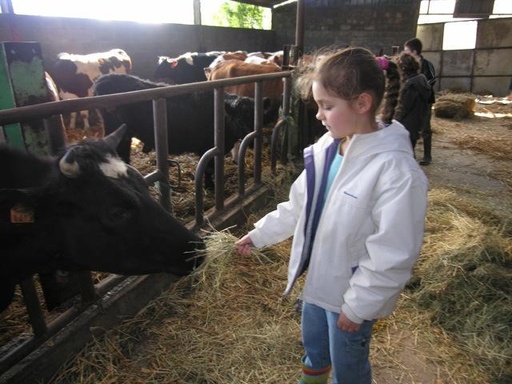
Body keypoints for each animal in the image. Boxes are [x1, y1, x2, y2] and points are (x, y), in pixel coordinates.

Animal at [93, 73, 274, 190]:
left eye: (255, 115)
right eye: (238, 116)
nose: (248, 132)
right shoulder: (206, 147)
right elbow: (207, 168)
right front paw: (210, 187)